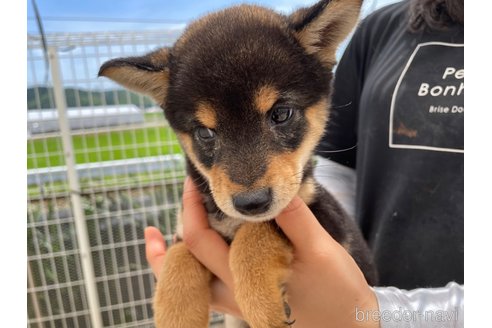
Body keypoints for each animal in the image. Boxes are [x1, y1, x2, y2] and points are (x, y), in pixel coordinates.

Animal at [99, 0, 376, 326]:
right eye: (205, 132)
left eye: (281, 114)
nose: (251, 203)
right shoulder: (186, 231)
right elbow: (177, 257)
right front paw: (175, 315)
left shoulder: (325, 221)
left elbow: (255, 233)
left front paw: (262, 304)